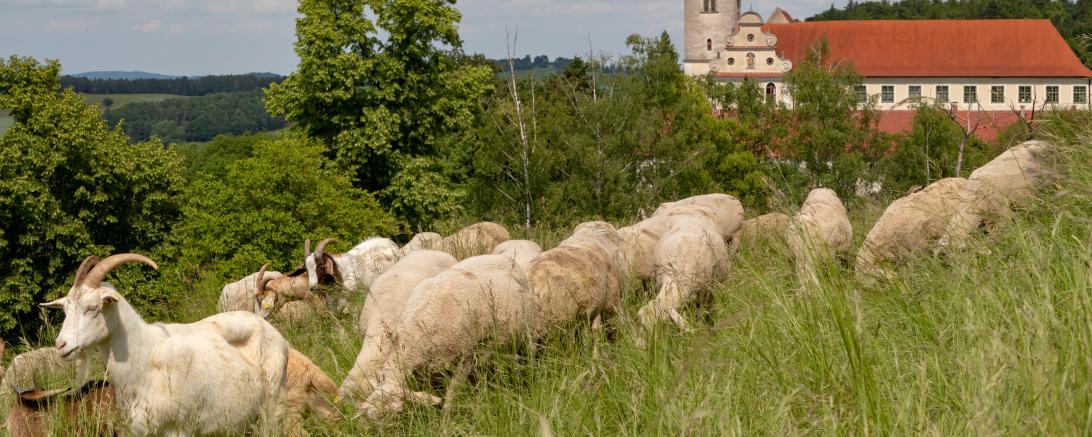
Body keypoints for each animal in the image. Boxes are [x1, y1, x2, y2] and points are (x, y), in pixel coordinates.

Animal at [40, 254, 290, 436]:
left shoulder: (178, 428)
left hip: (272, 406)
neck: (144, 358)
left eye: (92, 307)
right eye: (65, 309)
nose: (61, 345)